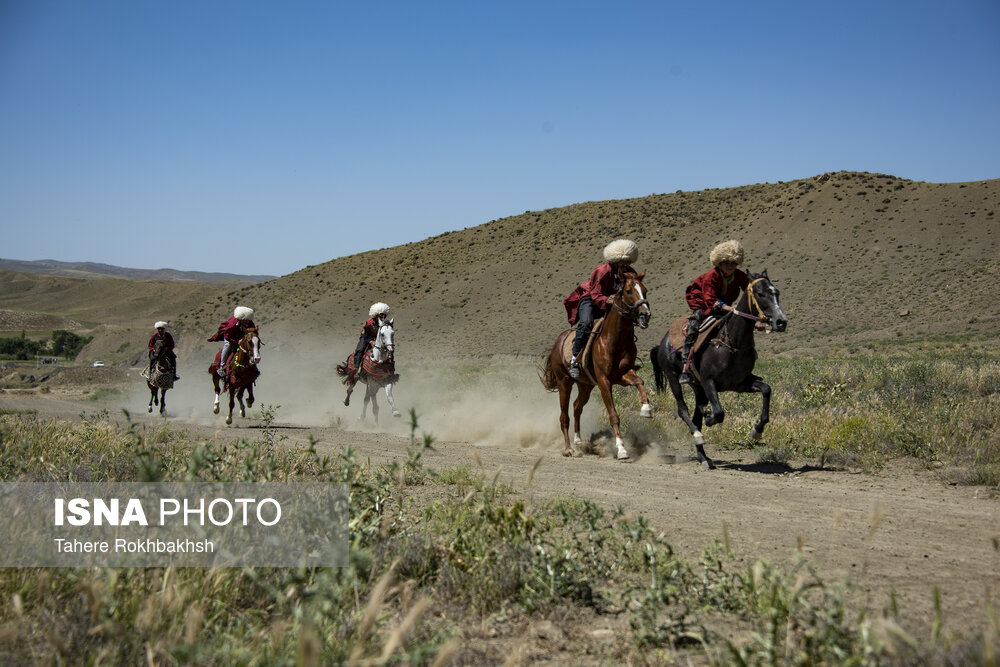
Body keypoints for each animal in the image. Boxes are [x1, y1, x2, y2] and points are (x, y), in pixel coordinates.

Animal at [540, 266, 656, 460]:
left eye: (645, 290)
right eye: (628, 291)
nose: (645, 315)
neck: (615, 339)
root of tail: (557, 343)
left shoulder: (622, 375)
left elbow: (640, 382)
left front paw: (646, 409)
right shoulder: (604, 381)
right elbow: (613, 415)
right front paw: (621, 449)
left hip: (586, 385)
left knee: (577, 406)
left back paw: (579, 441)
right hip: (564, 382)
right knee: (564, 416)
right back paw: (569, 448)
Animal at [648, 270, 788, 470]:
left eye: (776, 292)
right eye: (761, 294)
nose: (781, 322)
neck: (733, 344)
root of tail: (662, 343)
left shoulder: (740, 383)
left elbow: (766, 389)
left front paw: (757, 431)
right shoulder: (709, 382)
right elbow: (720, 413)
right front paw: (710, 417)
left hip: (698, 388)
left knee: (696, 416)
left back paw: (703, 457)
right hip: (674, 377)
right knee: (683, 410)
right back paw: (699, 435)